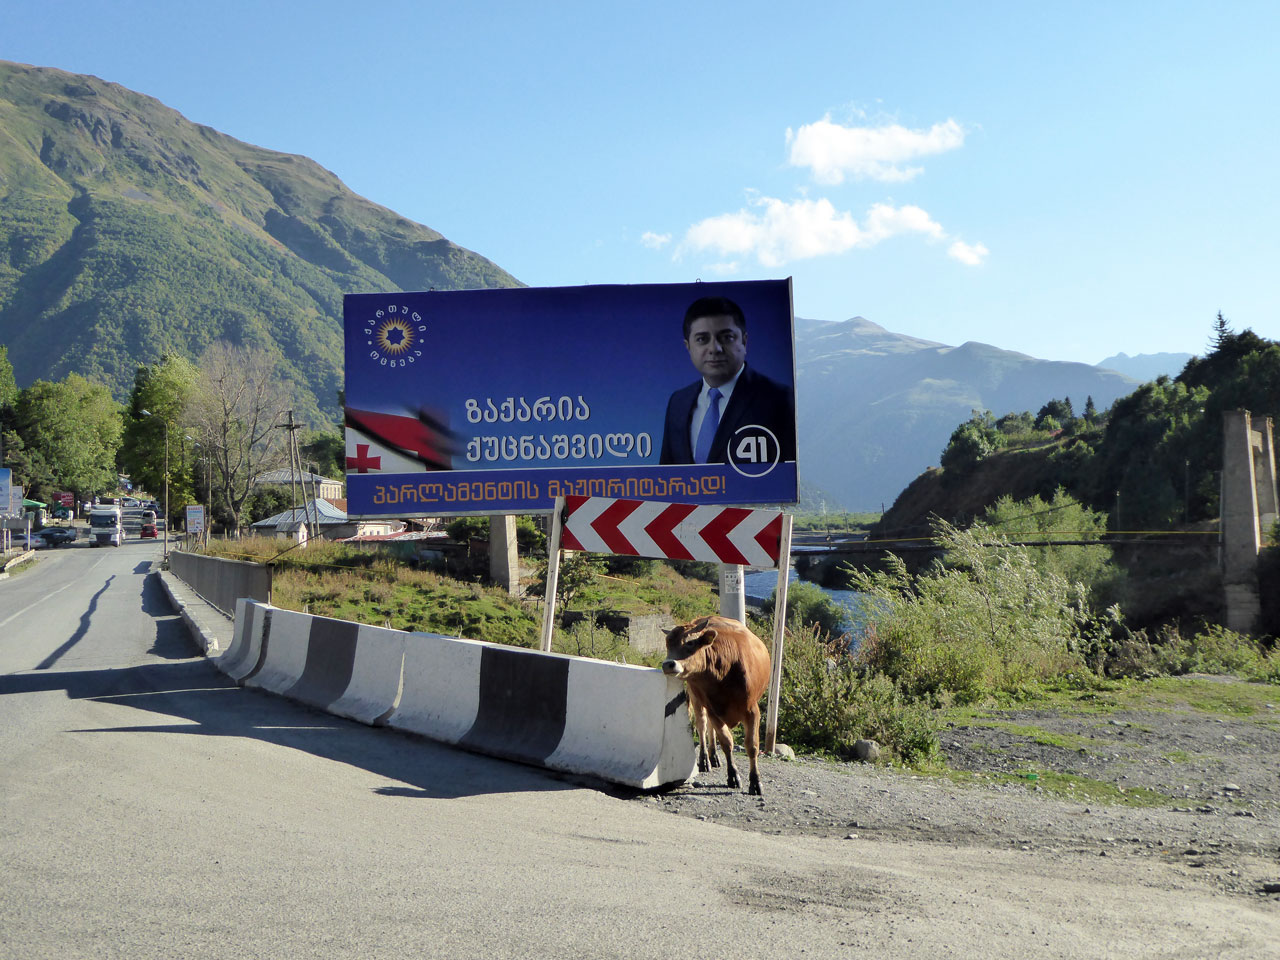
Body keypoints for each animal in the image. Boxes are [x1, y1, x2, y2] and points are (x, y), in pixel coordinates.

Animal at [660, 616, 768, 798]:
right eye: (668, 643)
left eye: (690, 642)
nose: (668, 664)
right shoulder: (712, 709)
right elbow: (726, 742)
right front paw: (733, 775)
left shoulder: (752, 710)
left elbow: (752, 746)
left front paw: (755, 781)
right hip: (697, 698)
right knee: (703, 725)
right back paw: (705, 759)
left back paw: (713, 756)